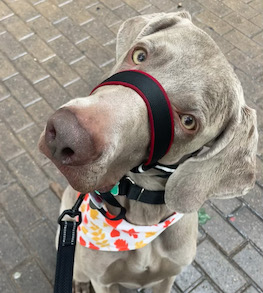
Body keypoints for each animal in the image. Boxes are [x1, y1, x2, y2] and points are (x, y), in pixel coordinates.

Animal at [38, 11, 258, 292]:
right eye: (139, 55)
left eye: (188, 122)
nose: (65, 133)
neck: (141, 221)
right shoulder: (103, 280)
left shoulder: (168, 276)